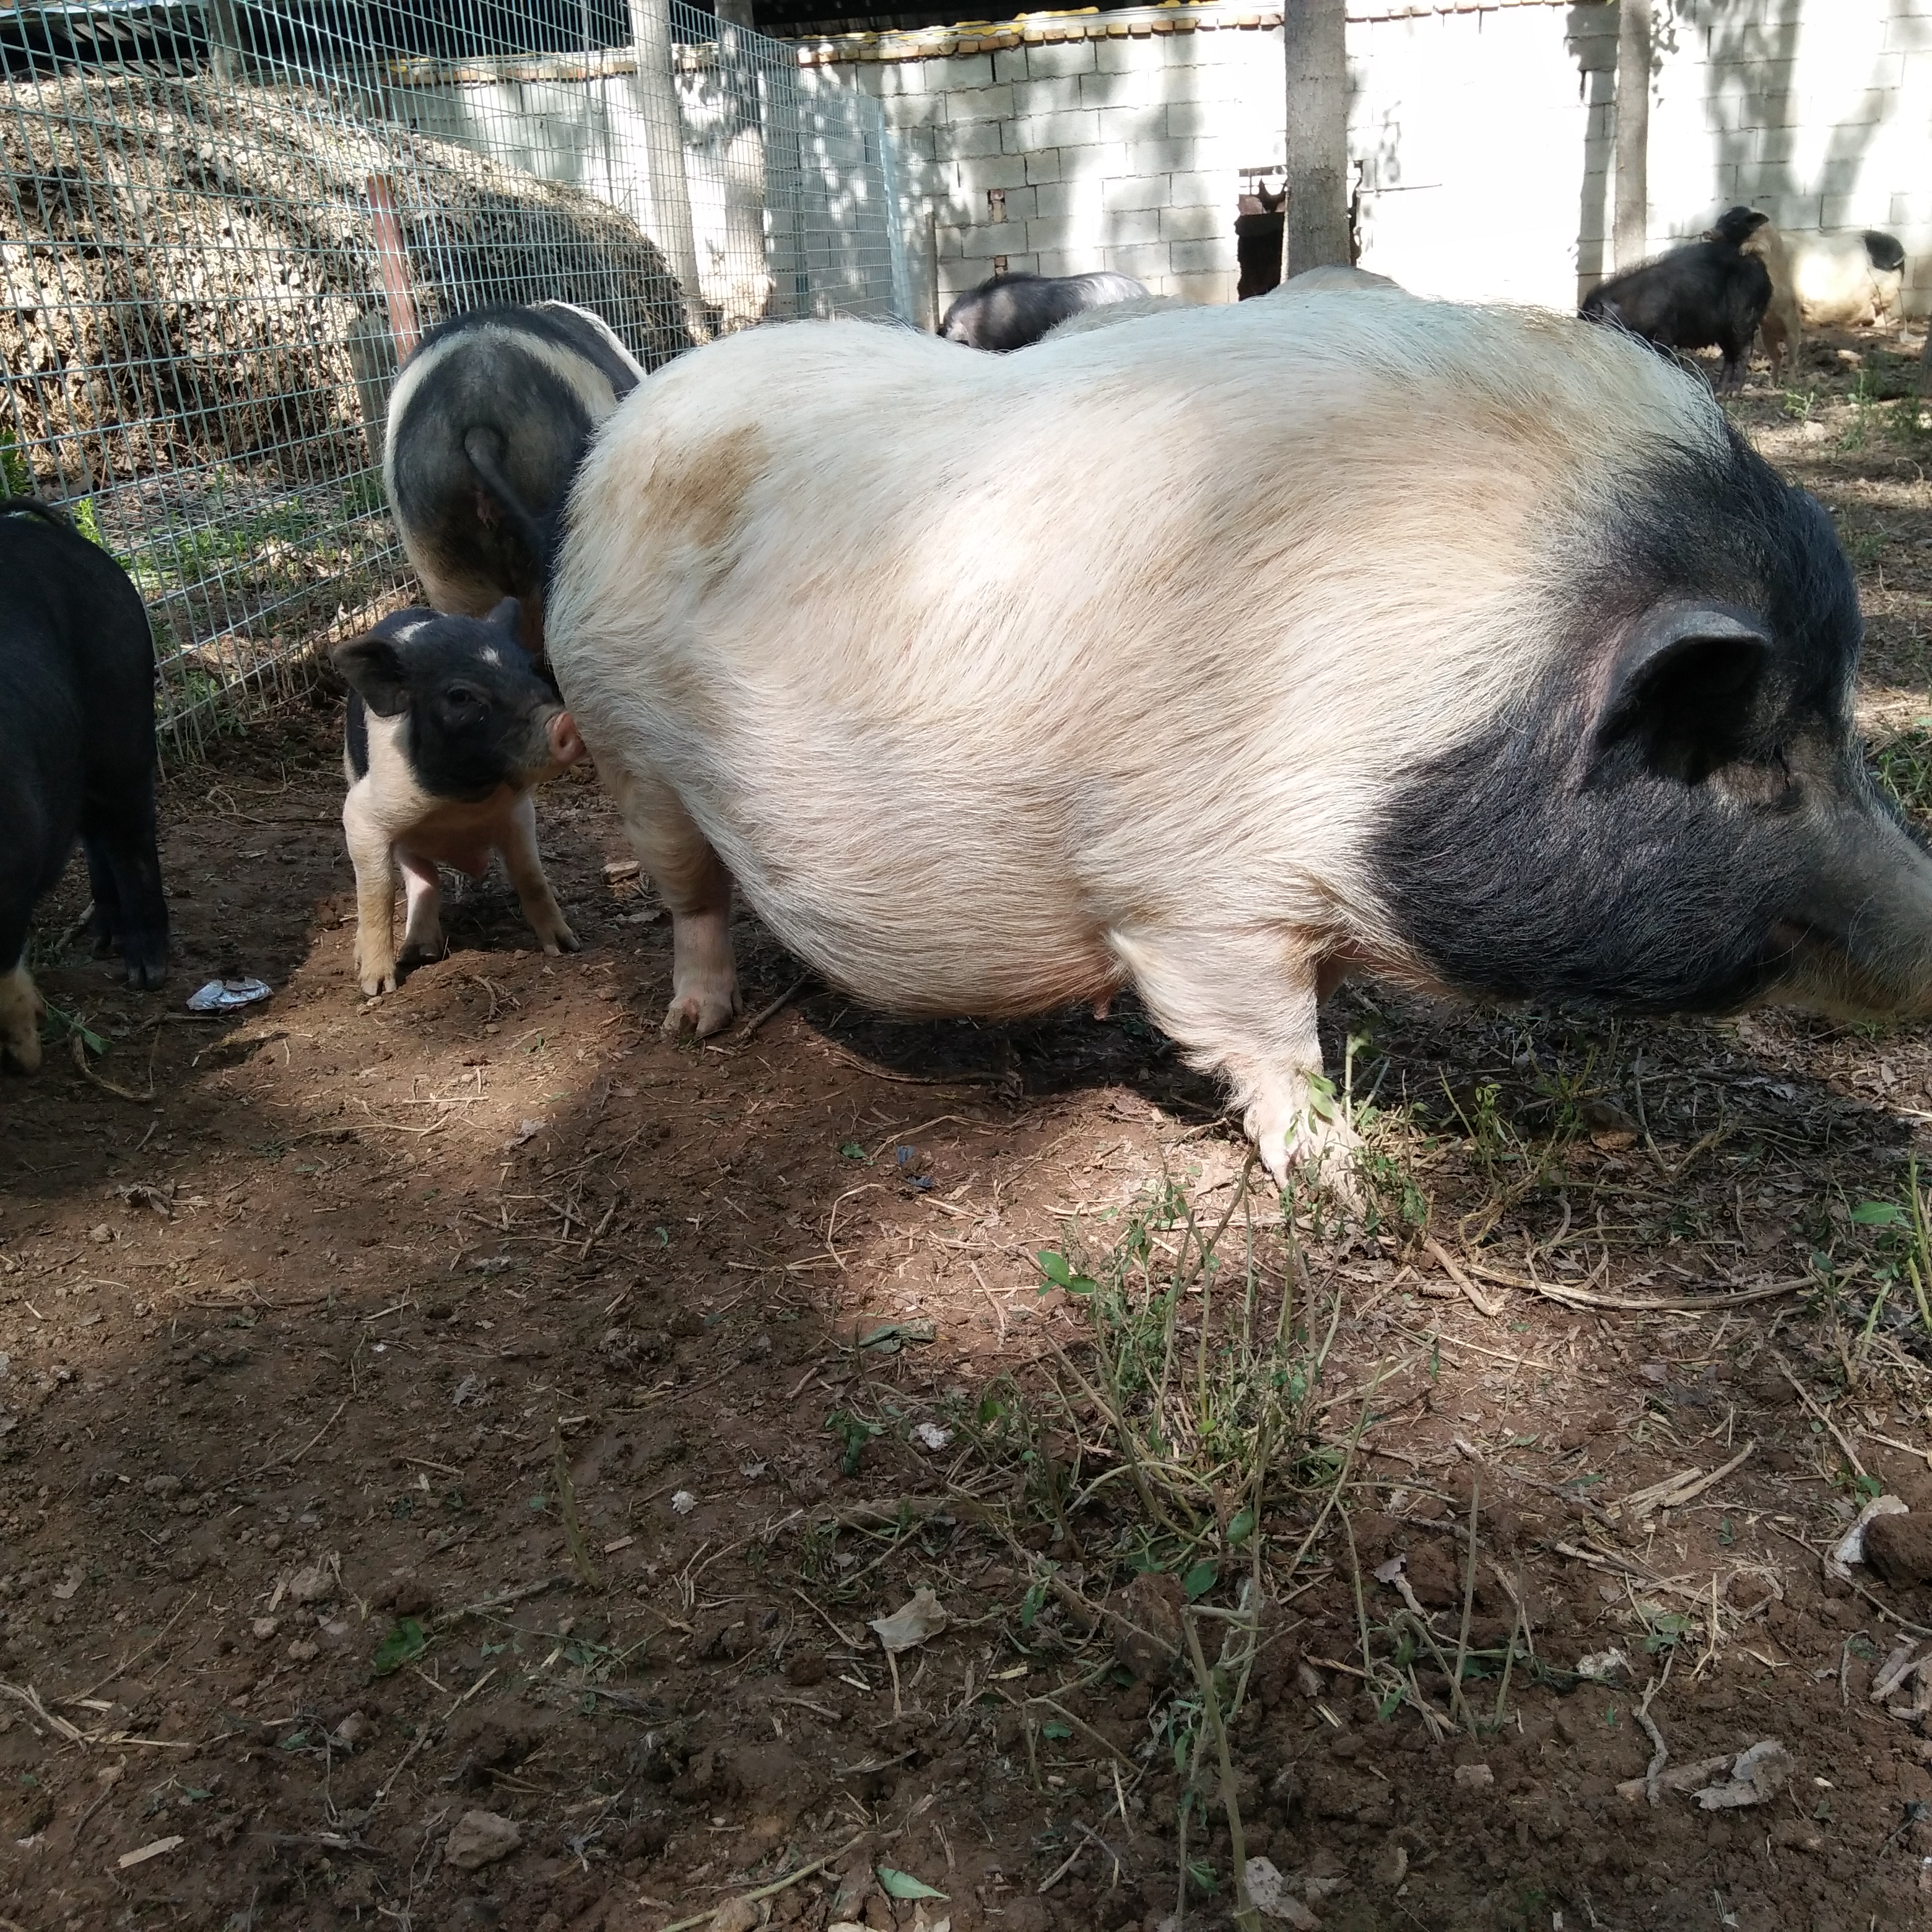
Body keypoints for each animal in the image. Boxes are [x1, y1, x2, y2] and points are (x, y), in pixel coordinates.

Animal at [537, 272, 1932, 1174]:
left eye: (1843, 714)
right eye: (1740, 753)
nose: (1927, 920)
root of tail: (624, 430)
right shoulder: (1196, 894)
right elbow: (1265, 1038)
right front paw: (1338, 1174)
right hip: (625, 741)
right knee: (692, 897)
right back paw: (696, 1027)